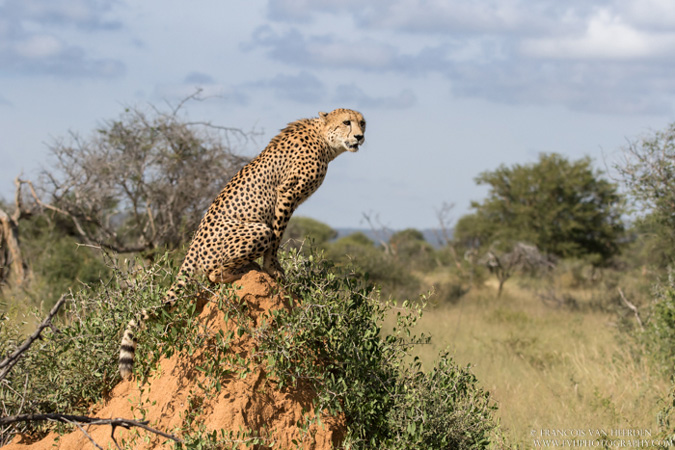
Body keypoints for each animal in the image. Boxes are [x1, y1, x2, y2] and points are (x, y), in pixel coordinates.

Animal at [119, 110, 368, 380]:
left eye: (362, 122)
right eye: (346, 122)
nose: (360, 136)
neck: (324, 140)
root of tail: (192, 247)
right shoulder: (286, 194)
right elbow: (277, 236)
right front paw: (273, 269)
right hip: (257, 230)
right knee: (215, 273)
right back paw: (245, 271)